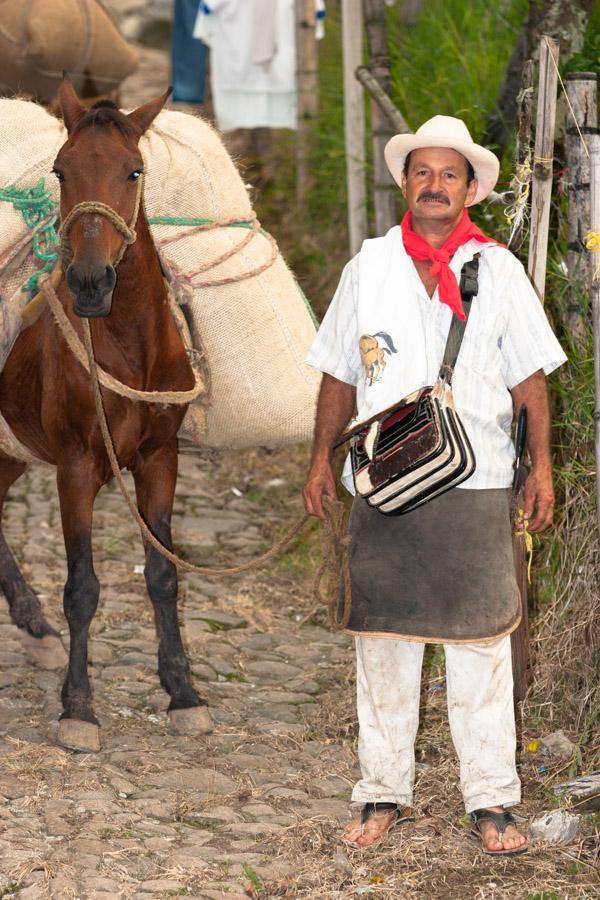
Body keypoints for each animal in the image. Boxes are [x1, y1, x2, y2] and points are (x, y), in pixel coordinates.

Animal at [0, 79, 213, 752]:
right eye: (60, 170)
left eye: (133, 170)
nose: (90, 282)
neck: (128, 346)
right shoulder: (76, 468)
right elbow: (83, 587)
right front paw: (78, 708)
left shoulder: (159, 461)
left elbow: (162, 574)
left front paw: (183, 693)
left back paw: (34, 626)